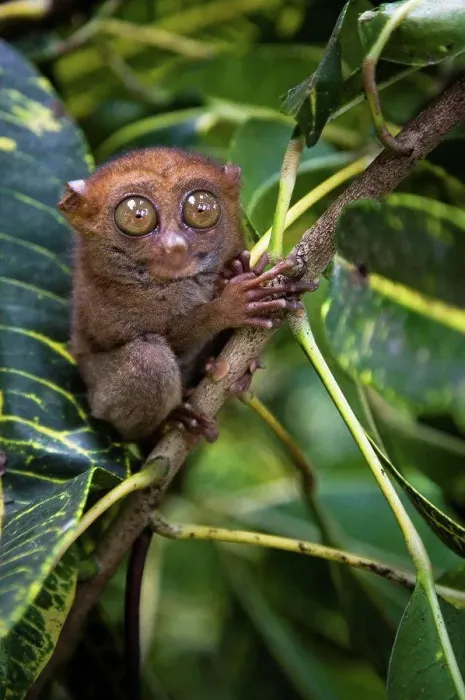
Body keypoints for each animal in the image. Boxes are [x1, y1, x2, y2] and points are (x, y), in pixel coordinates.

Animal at [57, 146, 315, 697]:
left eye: (201, 209)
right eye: (136, 216)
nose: (175, 246)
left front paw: (237, 268)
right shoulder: (114, 303)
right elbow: (166, 333)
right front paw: (228, 304)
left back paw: (229, 374)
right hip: (104, 398)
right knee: (149, 358)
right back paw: (174, 419)